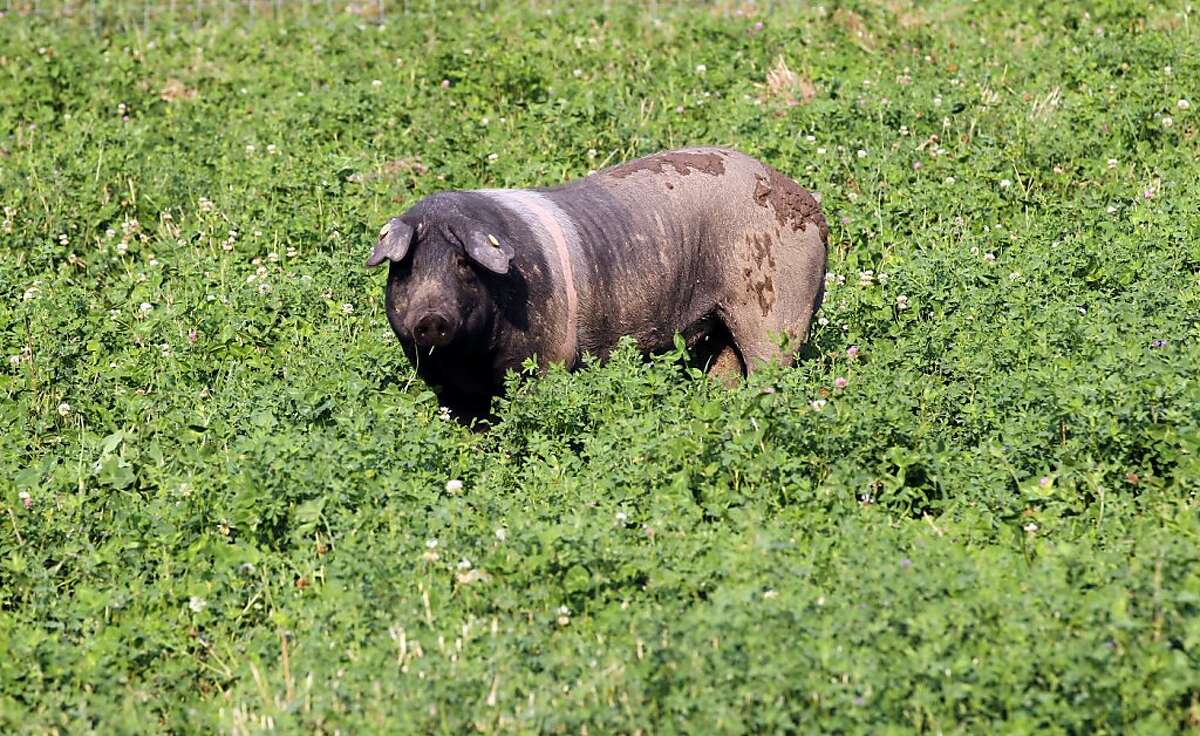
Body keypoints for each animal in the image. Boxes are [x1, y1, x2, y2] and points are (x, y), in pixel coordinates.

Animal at [367, 147, 828, 421]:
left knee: (770, 365)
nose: (430, 317)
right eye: (405, 267)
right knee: (725, 370)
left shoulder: (547, 360)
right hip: (719, 325)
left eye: (463, 263)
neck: (471, 359)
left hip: (776, 308)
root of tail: (811, 205)